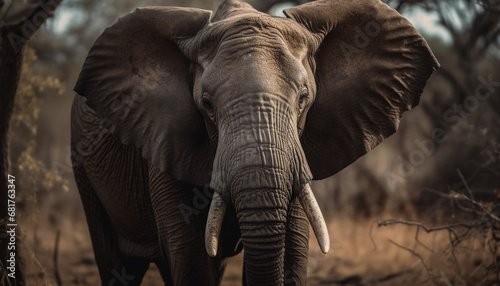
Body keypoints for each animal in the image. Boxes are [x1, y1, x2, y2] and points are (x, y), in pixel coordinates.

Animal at [70, 0, 438, 284]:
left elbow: (292, 250)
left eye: (303, 99)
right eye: (206, 104)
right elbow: (191, 258)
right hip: (82, 165)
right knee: (118, 265)